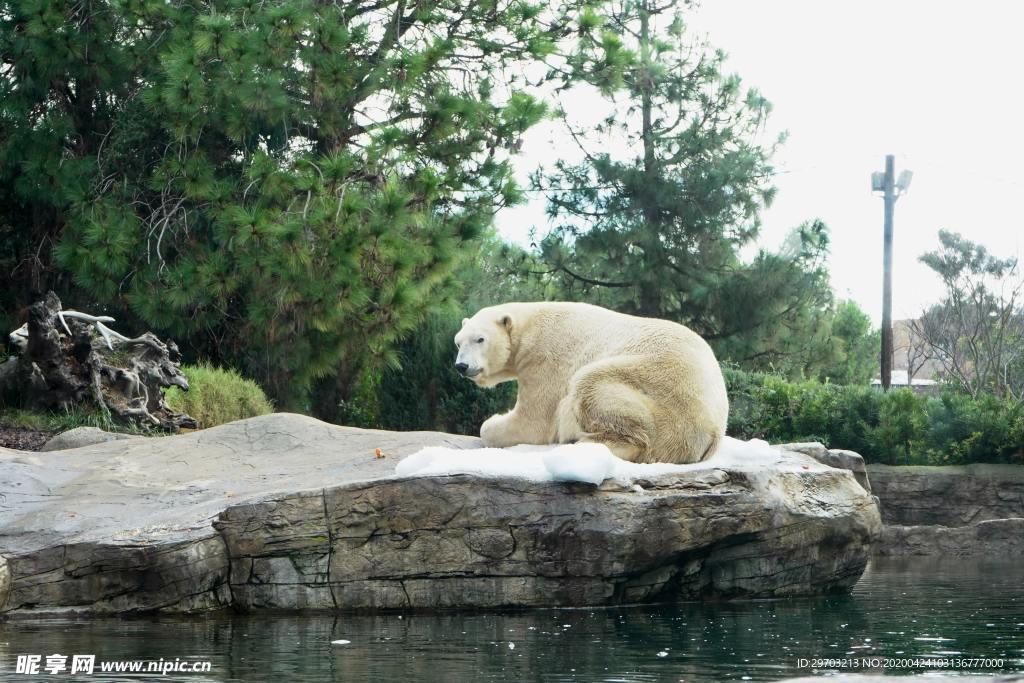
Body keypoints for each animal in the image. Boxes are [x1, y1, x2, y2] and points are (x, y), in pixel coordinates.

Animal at [454, 303, 729, 464]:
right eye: (458, 342)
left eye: (480, 339)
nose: (461, 366)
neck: (531, 324)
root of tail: (715, 430)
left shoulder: (545, 359)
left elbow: (533, 422)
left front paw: (492, 422)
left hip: (659, 390)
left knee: (591, 384)